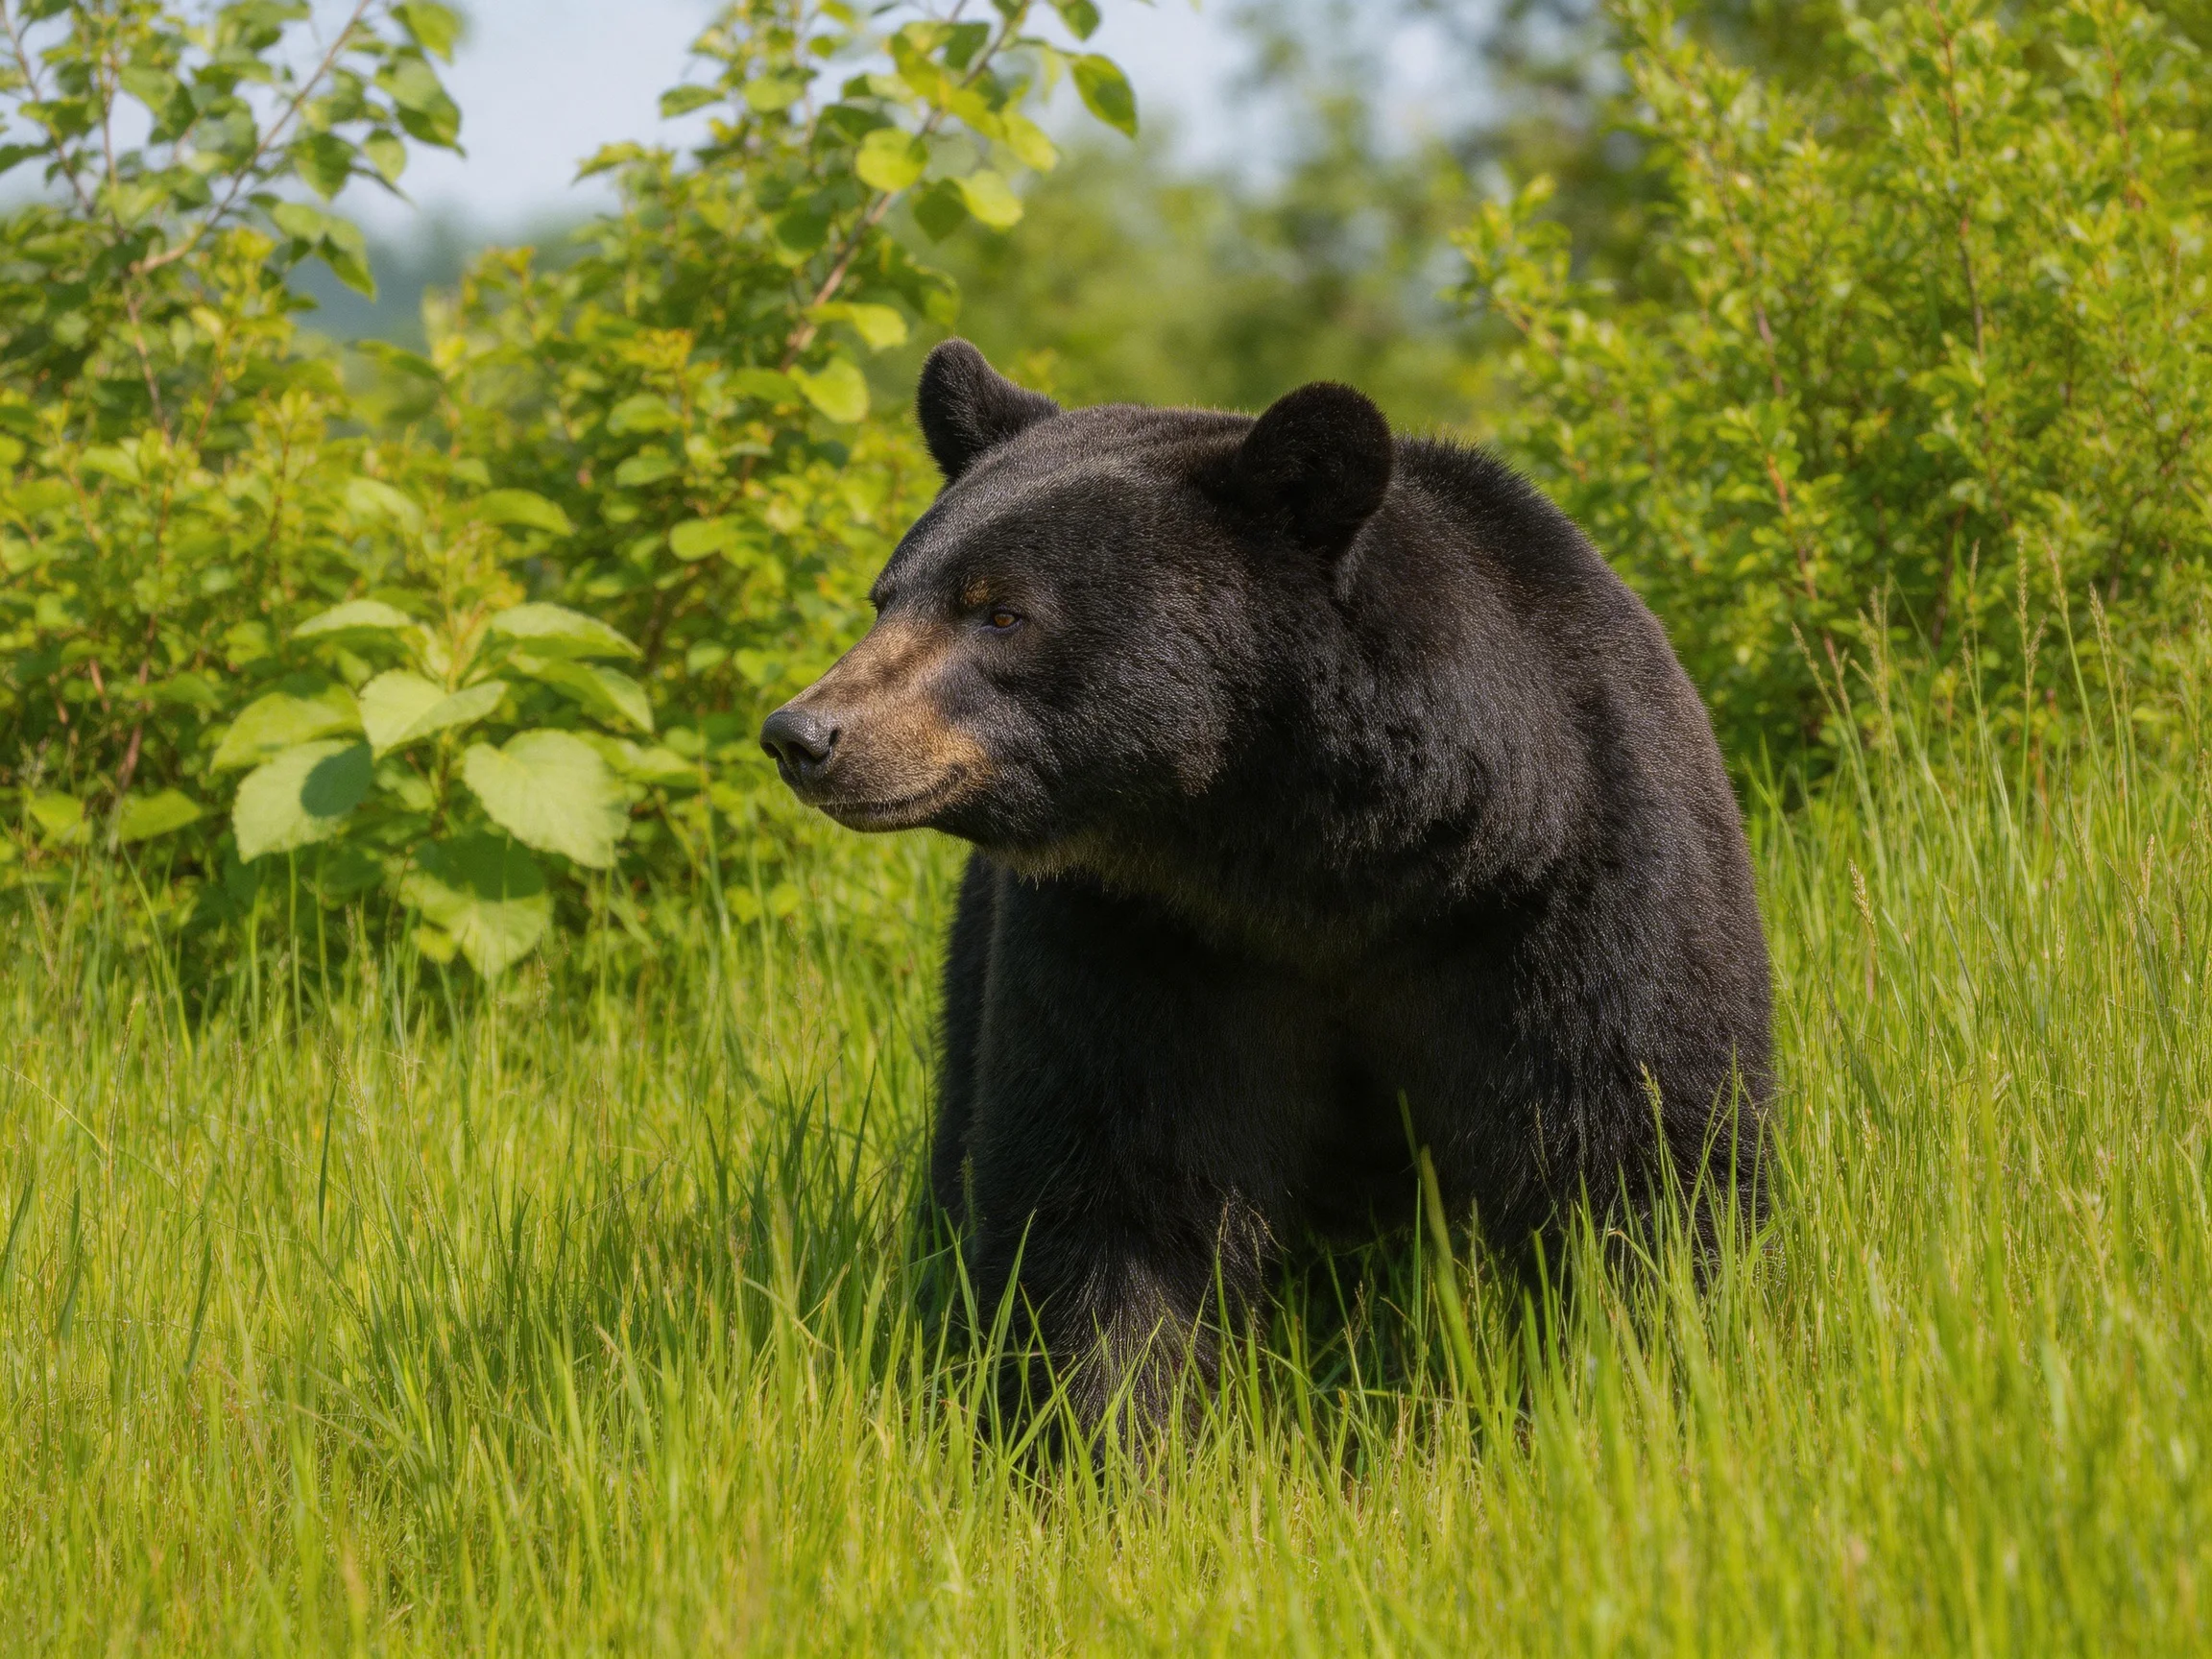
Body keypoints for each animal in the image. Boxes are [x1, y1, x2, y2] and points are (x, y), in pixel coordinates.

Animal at [760, 339, 1771, 1432]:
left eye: (1000, 612)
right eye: (888, 597)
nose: (803, 734)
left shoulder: (1568, 884)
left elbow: (1634, 1149)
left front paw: (1641, 1391)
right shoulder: (1137, 938)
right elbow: (1112, 1189)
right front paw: (1102, 1434)